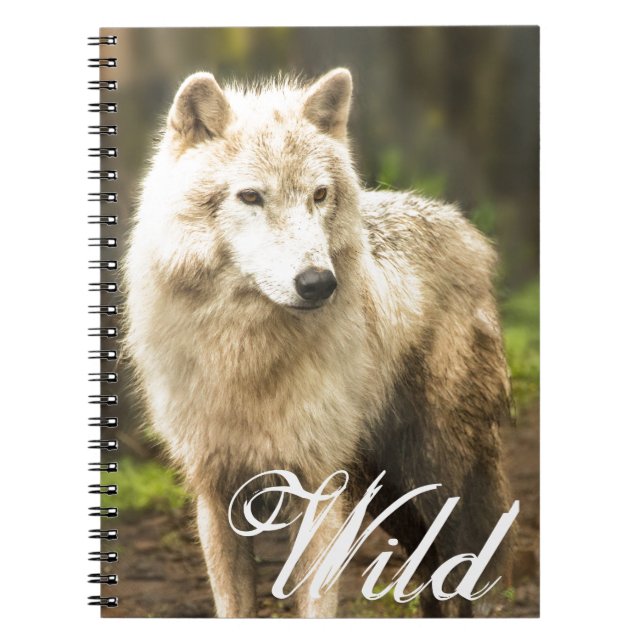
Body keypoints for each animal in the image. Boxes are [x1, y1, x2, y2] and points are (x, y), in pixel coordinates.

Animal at [125, 67, 514, 618]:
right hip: (390, 495)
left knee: (477, 580)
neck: (245, 354)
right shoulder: (215, 492)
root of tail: (466, 230)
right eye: (251, 197)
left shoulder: (320, 484)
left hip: (445, 475)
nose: (318, 283)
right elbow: (234, 607)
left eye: (319, 195)